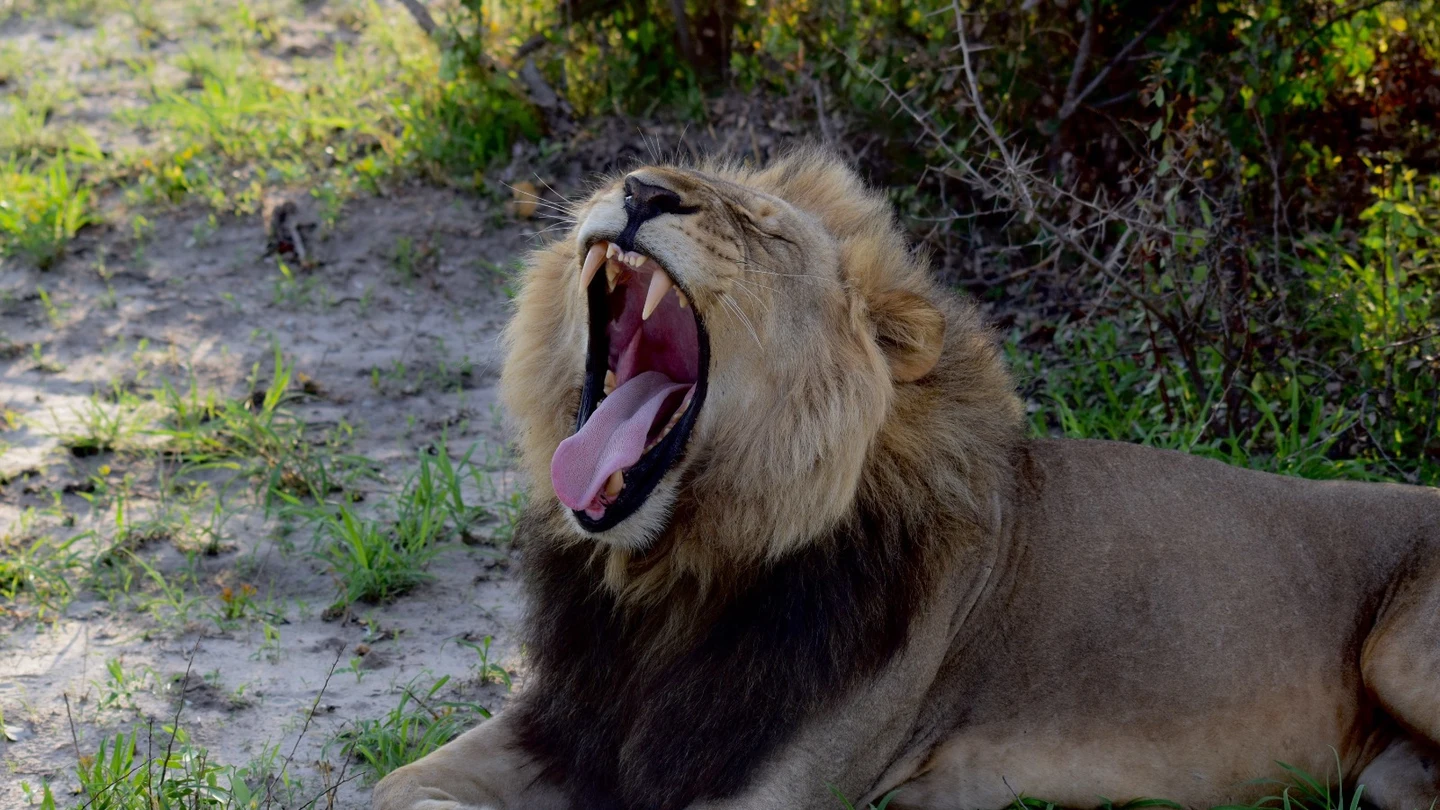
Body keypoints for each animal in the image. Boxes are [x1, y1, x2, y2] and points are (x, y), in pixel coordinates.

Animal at [372, 149, 1440, 810]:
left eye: (763, 230)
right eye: (635, 168)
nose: (638, 190)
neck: (669, 576)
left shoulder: (782, 786)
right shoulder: (570, 718)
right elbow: (393, 787)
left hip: (1399, 653)